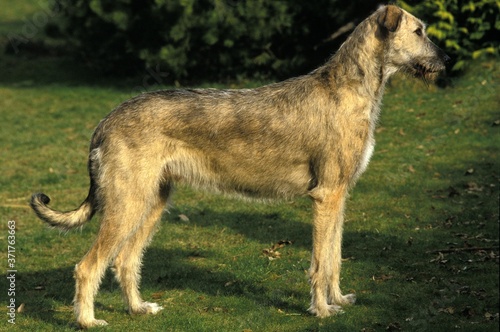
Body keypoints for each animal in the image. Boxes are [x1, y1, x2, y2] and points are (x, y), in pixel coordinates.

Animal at [30, 5, 450, 326]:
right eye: (419, 31)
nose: (446, 60)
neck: (350, 88)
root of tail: (106, 120)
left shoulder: (339, 196)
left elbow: (335, 256)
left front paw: (338, 300)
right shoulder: (327, 195)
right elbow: (320, 261)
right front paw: (321, 310)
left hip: (152, 203)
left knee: (125, 260)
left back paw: (139, 308)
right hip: (126, 205)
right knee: (89, 266)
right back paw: (87, 321)